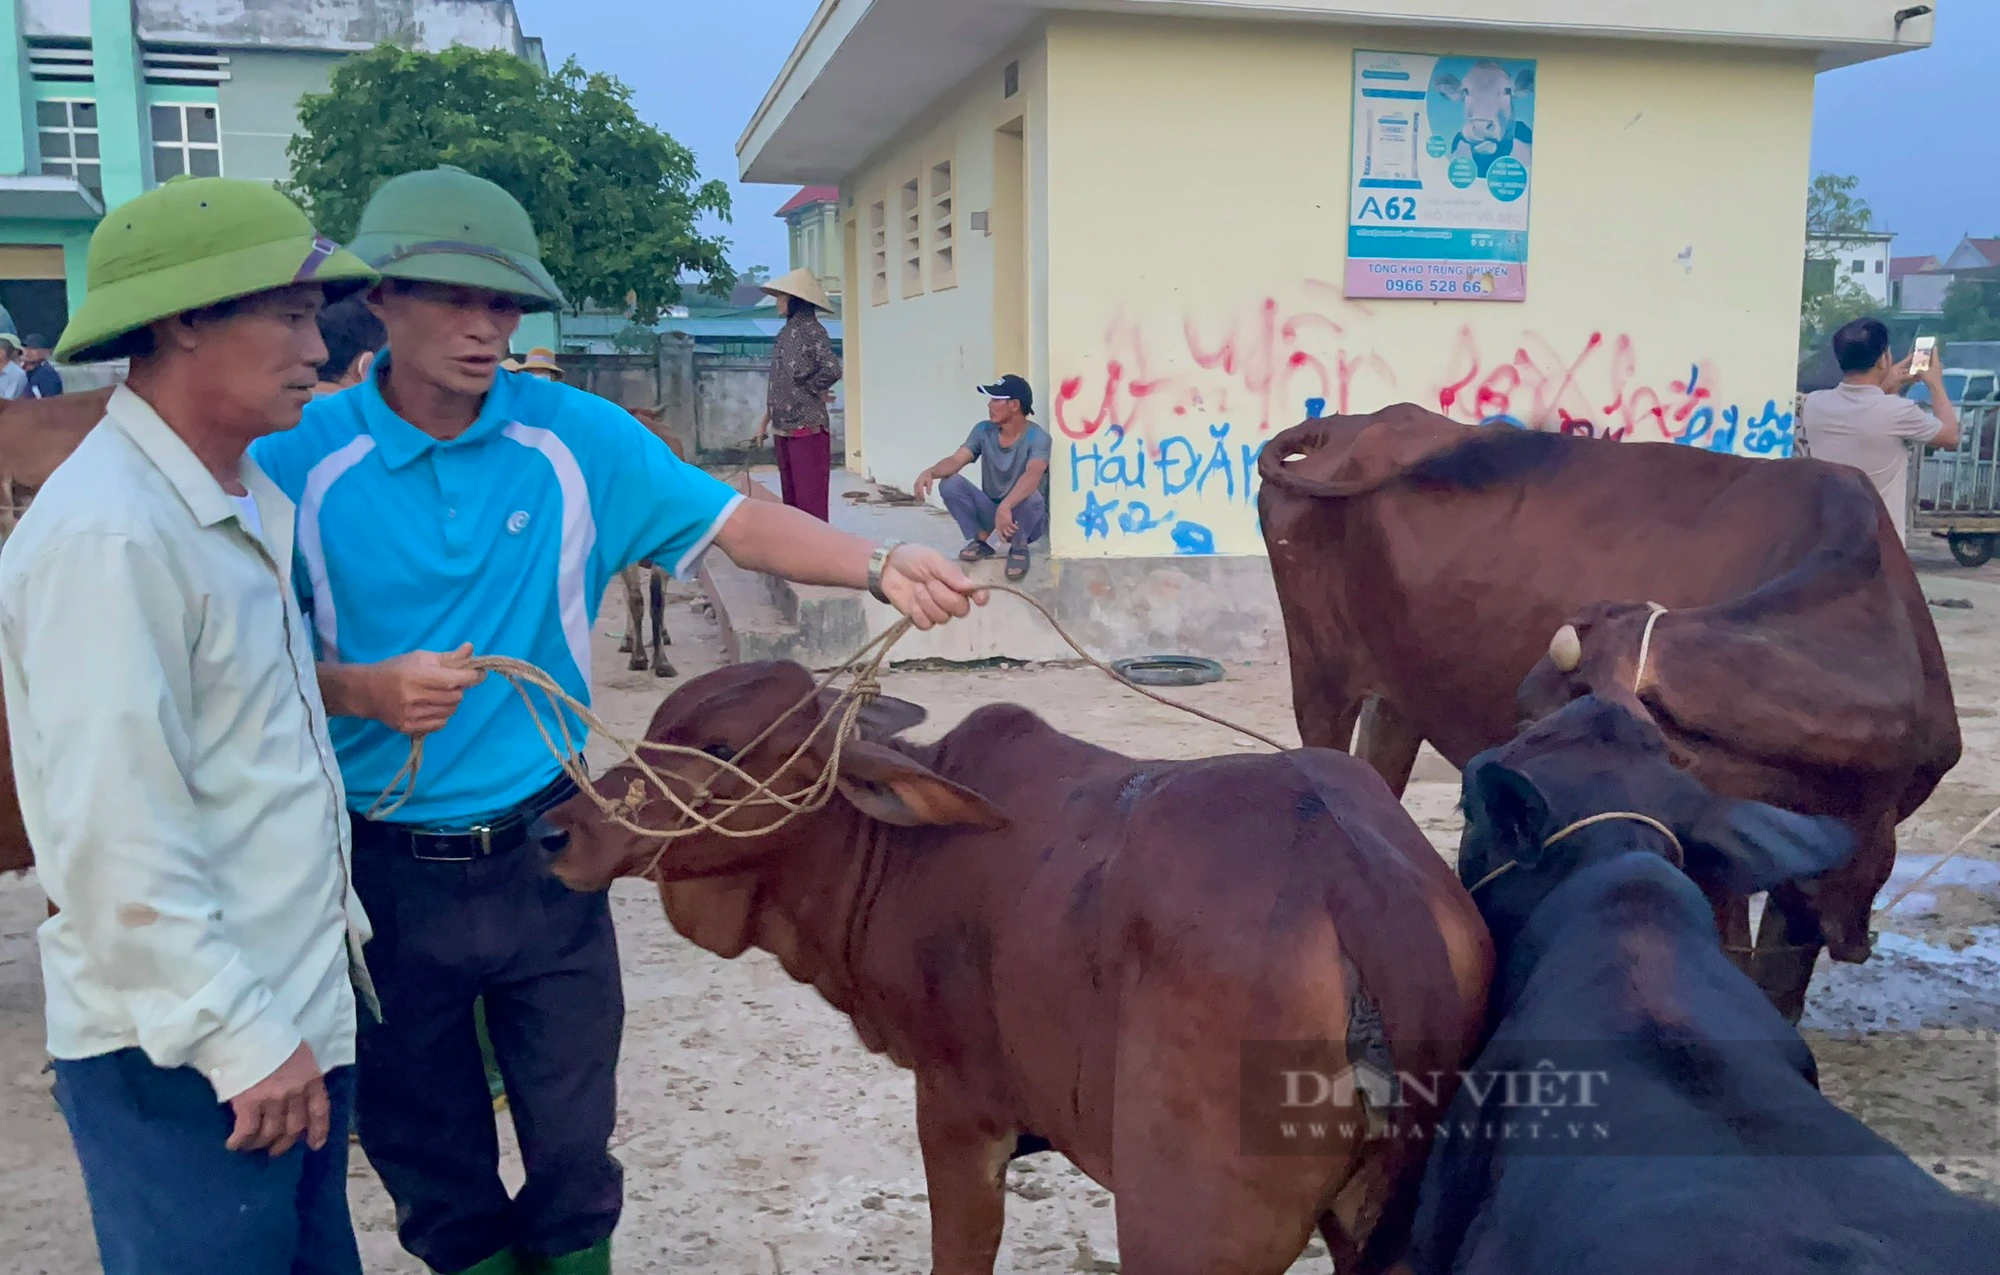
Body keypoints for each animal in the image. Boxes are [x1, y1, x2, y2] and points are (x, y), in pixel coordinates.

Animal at [544, 663, 1488, 1271]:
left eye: (725, 749)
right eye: (657, 729)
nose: (559, 828)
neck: (887, 854)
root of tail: (1358, 884)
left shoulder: (959, 1114)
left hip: (1185, 1228)